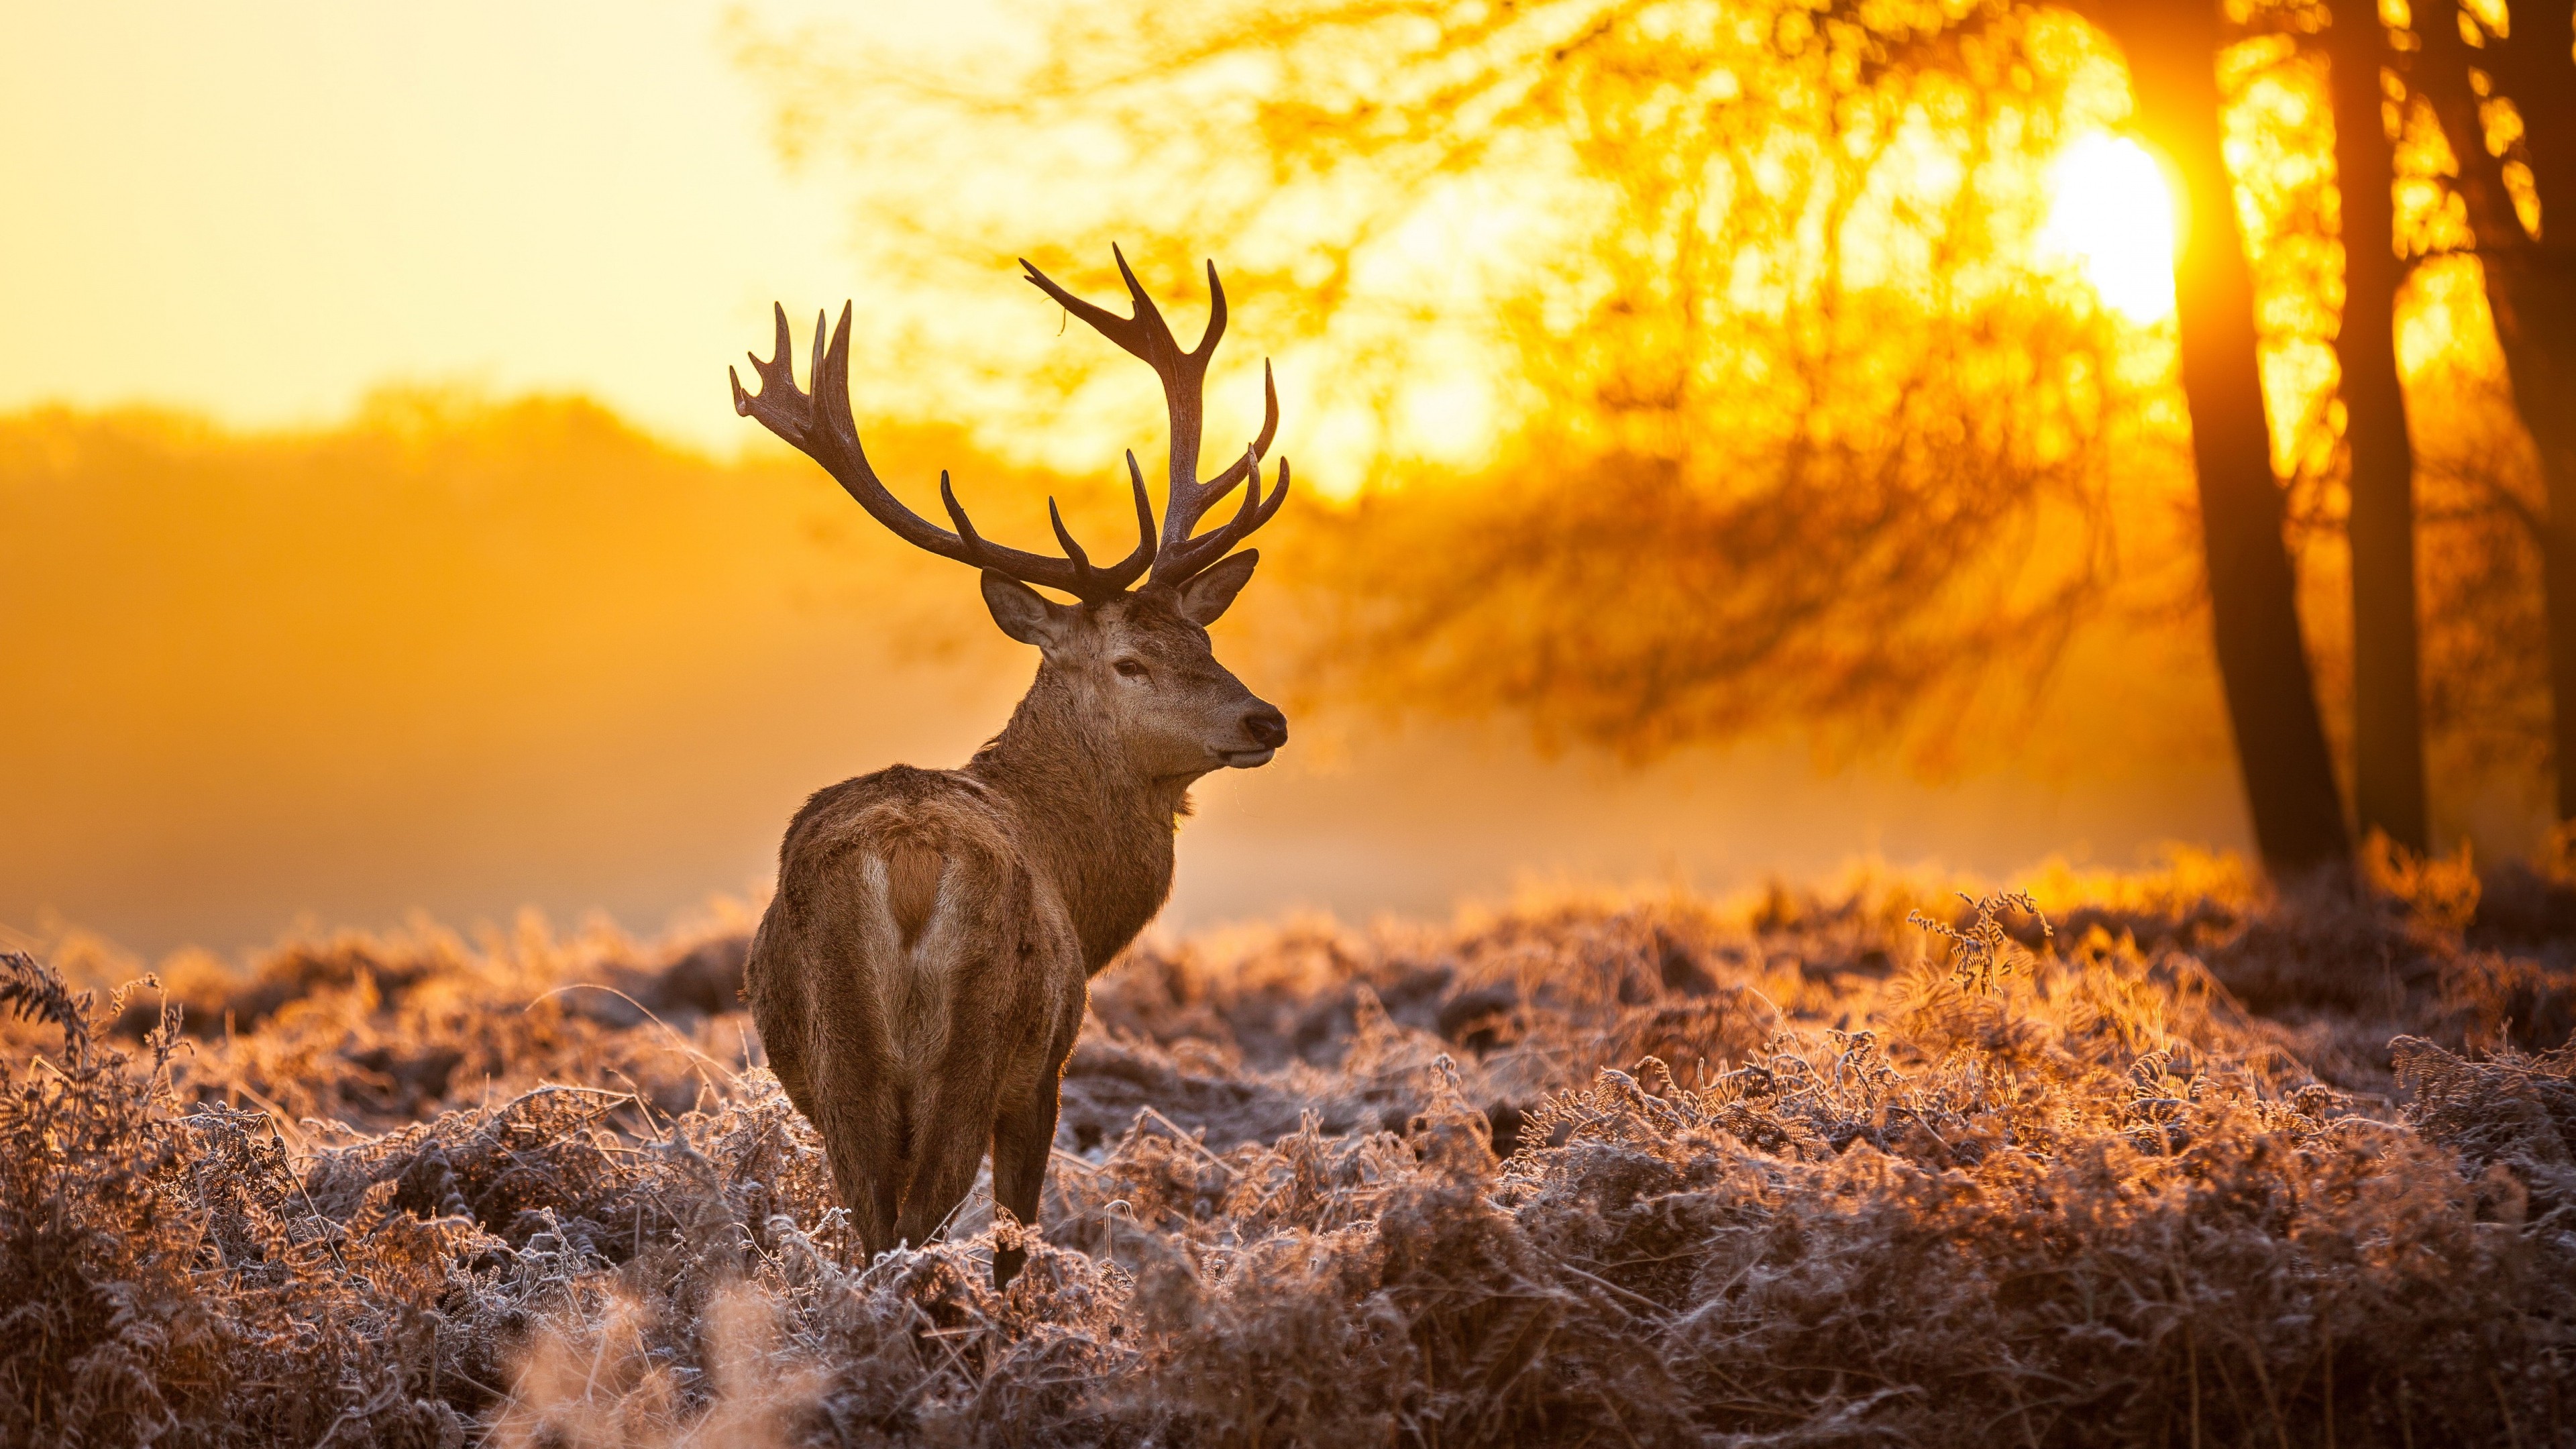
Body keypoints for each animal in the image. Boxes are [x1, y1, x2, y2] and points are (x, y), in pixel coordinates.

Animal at [727, 249, 1289, 1288]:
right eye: (1130, 662)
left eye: (1203, 638)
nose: (1264, 717)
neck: (1081, 882)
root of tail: (908, 863)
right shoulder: (1048, 1068)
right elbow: (1016, 1239)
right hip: (979, 1042)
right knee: (922, 1223)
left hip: (838, 1060)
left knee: (874, 1226)